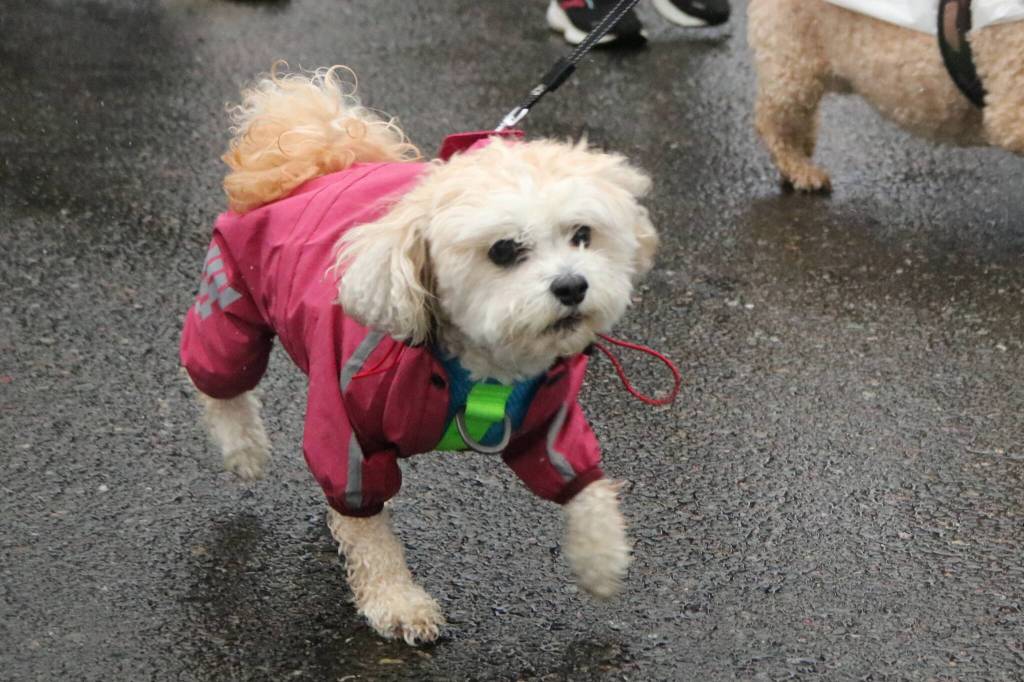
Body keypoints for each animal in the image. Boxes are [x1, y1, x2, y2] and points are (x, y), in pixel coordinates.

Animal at [180, 66, 658, 644]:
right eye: (504, 250)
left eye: (582, 235)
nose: (572, 286)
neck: (479, 368)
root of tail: (314, 152)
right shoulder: (347, 426)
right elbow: (368, 528)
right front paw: (395, 600)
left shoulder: (548, 419)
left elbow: (582, 482)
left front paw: (601, 560)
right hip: (230, 305)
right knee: (219, 381)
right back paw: (242, 448)